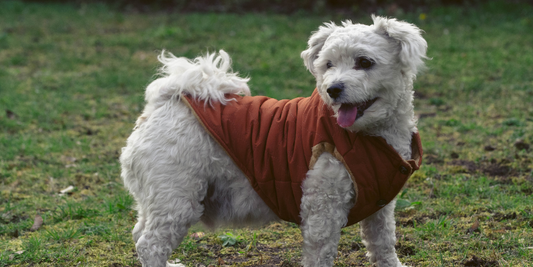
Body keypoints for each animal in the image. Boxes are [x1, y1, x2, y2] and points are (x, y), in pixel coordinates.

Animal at [120, 15, 424, 267]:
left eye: (365, 62)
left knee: (139, 233)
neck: (368, 136)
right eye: (328, 65)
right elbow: (321, 254)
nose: (333, 89)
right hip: (176, 196)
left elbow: (383, 245)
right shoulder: (323, 209)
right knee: (150, 245)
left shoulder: (381, 207)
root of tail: (163, 103)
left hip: (157, 197)